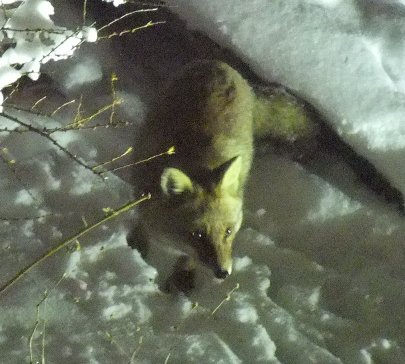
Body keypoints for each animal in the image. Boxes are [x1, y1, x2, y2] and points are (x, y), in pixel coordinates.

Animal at [131, 58, 402, 288]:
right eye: (197, 233)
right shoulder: (142, 193)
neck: (196, 158)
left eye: (228, 231)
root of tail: (219, 64)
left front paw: (181, 280)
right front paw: (136, 247)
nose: (223, 273)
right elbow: (141, 223)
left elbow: (186, 259)